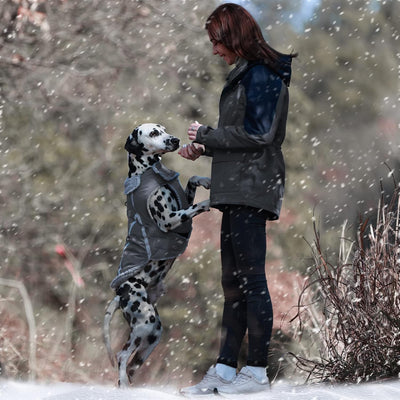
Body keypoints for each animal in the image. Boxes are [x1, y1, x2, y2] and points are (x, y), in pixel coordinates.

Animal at [102, 122, 209, 388]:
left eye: (164, 129)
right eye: (152, 133)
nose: (175, 140)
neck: (148, 172)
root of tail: (120, 295)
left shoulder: (181, 204)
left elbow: (192, 182)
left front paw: (205, 180)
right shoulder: (171, 219)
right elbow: (195, 207)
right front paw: (211, 199)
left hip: (153, 333)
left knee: (133, 362)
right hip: (145, 323)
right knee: (121, 356)